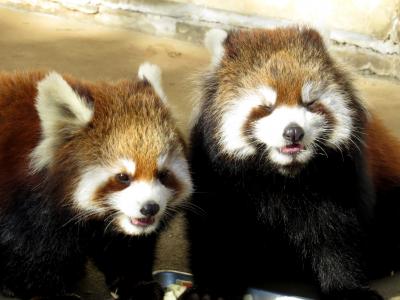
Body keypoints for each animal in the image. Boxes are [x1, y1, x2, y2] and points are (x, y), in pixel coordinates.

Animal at [0, 62, 192, 298]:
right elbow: (32, 256)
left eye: (162, 174)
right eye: (123, 177)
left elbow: (126, 249)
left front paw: (138, 285)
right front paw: (49, 292)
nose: (150, 208)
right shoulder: (27, 207)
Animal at [182, 27, 400, 300]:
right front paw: (212, 289)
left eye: (310, 103)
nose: (294, 132)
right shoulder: (214, 176)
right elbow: (215, 231)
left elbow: (337, 237)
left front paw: (348, 289)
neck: (282, 178)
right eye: (267, 107)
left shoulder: (341, 178)